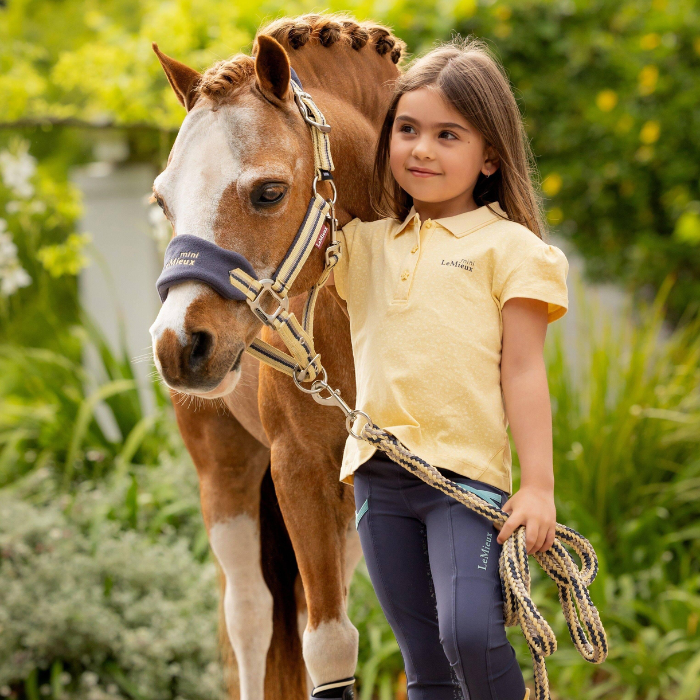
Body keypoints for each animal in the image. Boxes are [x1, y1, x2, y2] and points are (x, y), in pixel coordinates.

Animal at [151, 13, 408, 700]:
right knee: (252, 614)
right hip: (227, 474)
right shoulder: (297, 472)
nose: (178, 344)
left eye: (268, 192)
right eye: (163, 200)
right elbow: (328, 645)